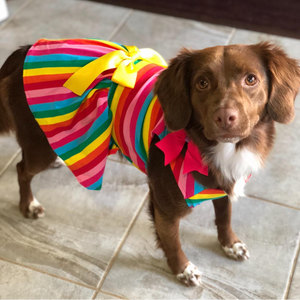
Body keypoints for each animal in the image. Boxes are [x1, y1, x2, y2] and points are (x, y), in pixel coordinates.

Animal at [0, 40, 298, 286]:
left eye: (251, 79)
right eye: (202, 83)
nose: (225, 117)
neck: (212, 146)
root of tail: (24, 51)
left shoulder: (224, 184)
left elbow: (224, 217)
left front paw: (230, 244)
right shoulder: (165, 207)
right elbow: (172, 240)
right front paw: (182, 269)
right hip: (39, 145)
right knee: (22, 169)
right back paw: (28, 205)